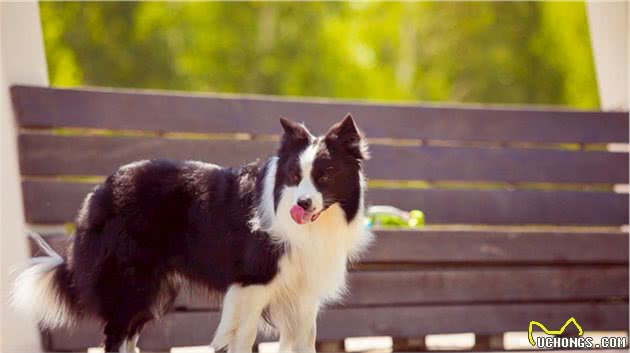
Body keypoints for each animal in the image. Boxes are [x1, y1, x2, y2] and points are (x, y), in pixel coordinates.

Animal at [12, 114, 372, 350]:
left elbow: (304, 340)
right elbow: (242, 337)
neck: (317, 226)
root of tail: (100, 189)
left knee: (128, 333)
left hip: (150, 289)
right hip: (130, 282)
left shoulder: (301, 294)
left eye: (324, 176)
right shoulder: (251, 284)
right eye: (295, 176)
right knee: (115, 335)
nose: (302, 204)